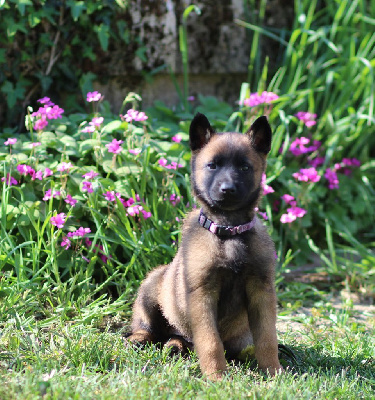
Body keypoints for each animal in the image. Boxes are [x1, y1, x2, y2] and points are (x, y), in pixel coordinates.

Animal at [128, 113, 284, 382]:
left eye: (244, 167)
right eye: (212, 166)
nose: (227, 189)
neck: (228, 231)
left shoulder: (261, 291)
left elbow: (267, 338)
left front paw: (273, 372)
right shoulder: (202, 294)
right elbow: (210, 341)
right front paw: (216, 377)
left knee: (182, 339)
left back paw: (175, 345)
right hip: (151, 286)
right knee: (147, 326)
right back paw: (140, 339)